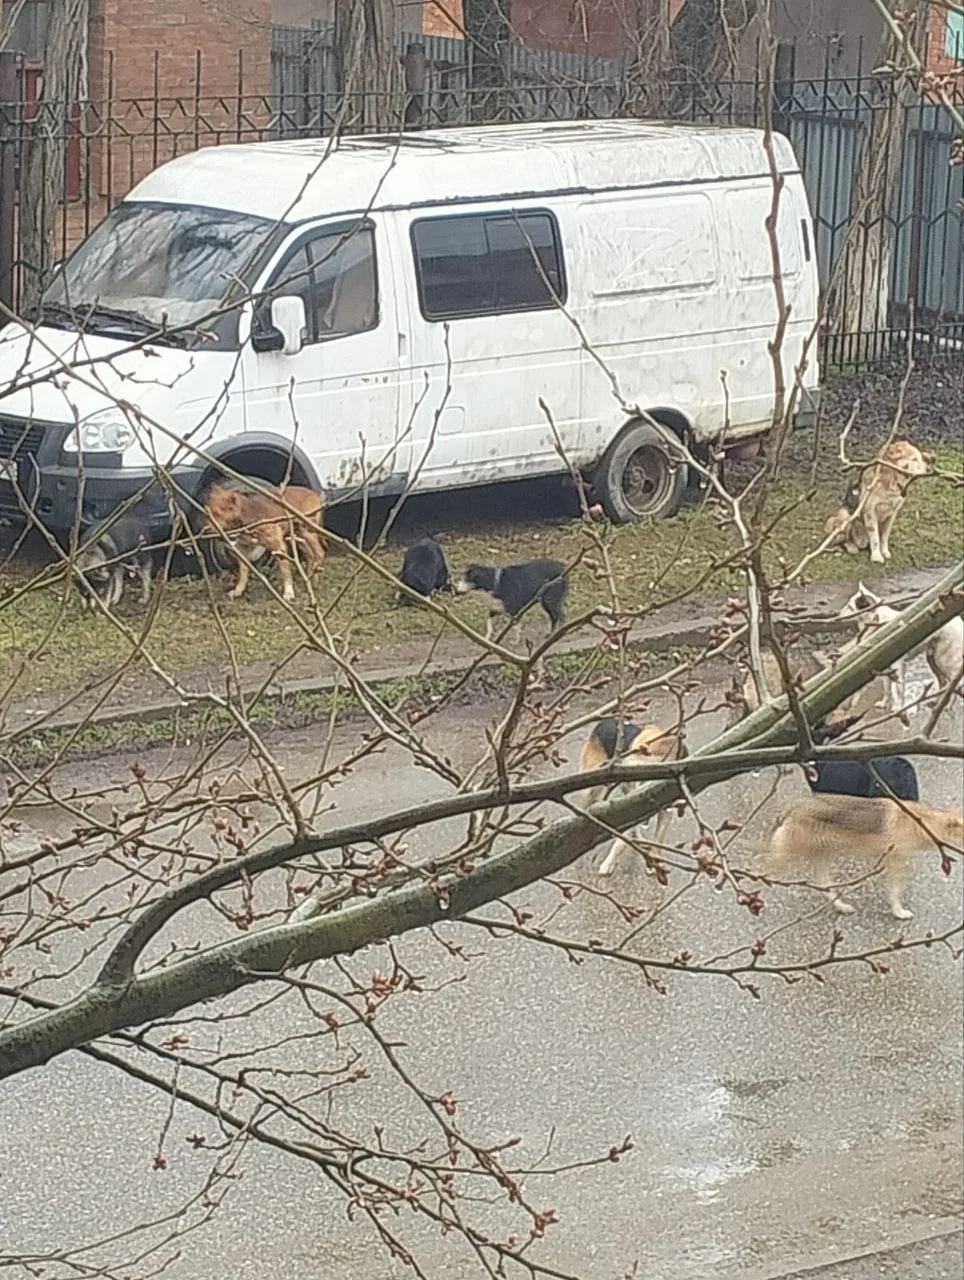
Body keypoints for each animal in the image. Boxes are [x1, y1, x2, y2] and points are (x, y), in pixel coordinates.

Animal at [577, 717, 684, 877]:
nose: (617, 765)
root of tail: (604, 721)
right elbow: (620, 843)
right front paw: (608, 863)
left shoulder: (666, 811)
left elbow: (658, 839)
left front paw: (655, 861)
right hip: (591, 790)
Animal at [766, 794, 962, 919]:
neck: (922, 822)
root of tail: (790, 809)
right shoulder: (895, 866)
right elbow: (894, 893)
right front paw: (898, 912)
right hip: (784, 858)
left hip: (823, 856)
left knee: (824, 886)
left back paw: (841, 907)